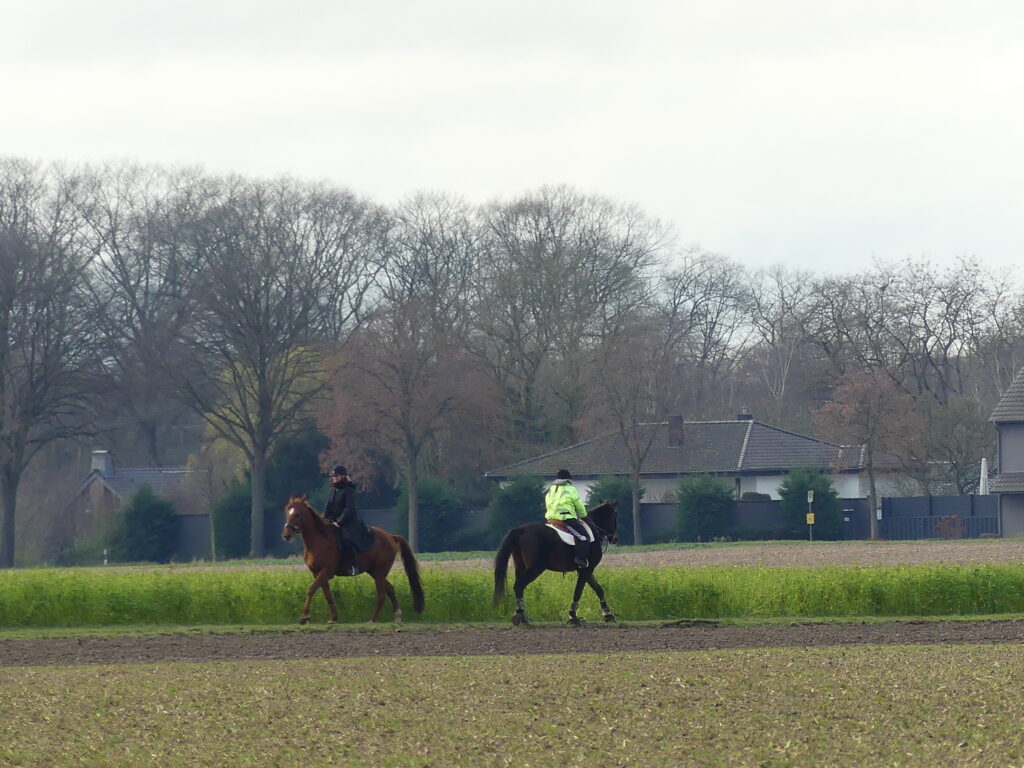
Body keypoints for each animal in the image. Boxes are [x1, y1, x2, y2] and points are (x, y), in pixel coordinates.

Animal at [281, 495, 425, 624]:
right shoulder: (317, 573)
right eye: (287, 512)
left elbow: (311, 590)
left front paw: (304, 617)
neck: (318, 540)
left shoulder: (326, 572)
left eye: (298, 514)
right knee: (390, 589)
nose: (286, 535)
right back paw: (397, 616)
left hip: (379, 573)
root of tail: (391, 536)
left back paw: (373, 619)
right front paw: (333, 617)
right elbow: (328, 595)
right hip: (375, 572)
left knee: (381, 594)